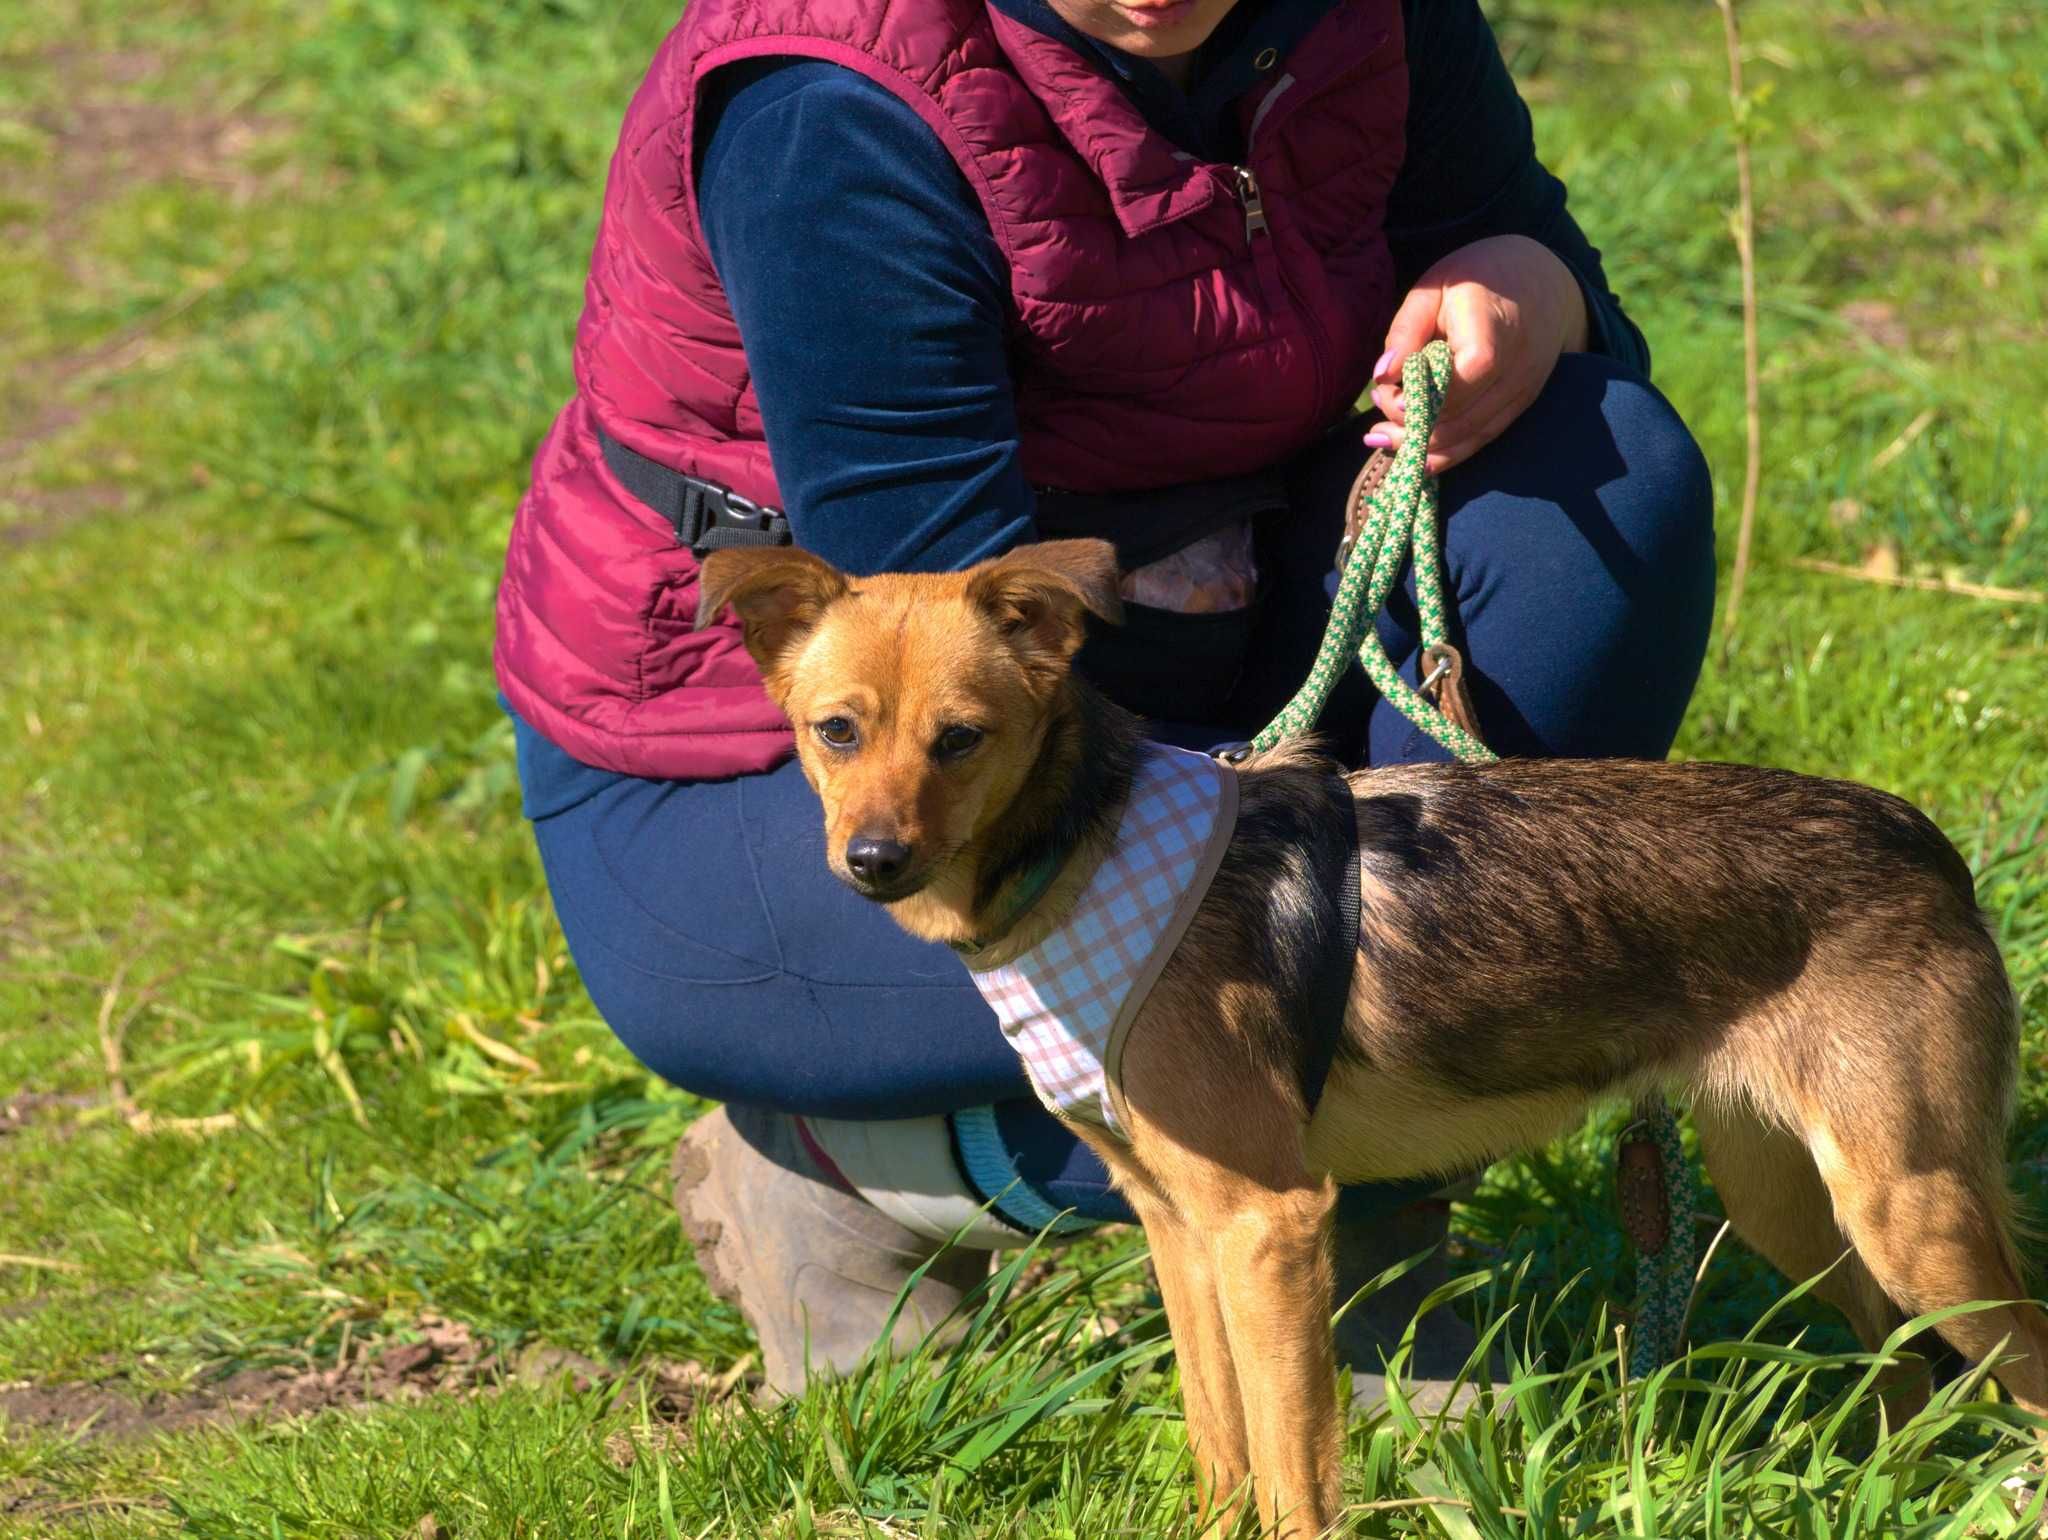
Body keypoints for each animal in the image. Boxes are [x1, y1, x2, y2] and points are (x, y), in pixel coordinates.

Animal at [696, 536, 2039, 1531]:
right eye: (834, 731)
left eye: (960, 737)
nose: (874, 859)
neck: (1082, 852)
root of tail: (1926, 843)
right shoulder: (1180, 1229)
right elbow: (1220, 1439)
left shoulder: (1269, 1226)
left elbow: (1292, 1468)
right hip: (1788, 1195)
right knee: (1901, 1360)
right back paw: (1895, 1483)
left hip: (1907, 1205)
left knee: (2016, 1356)